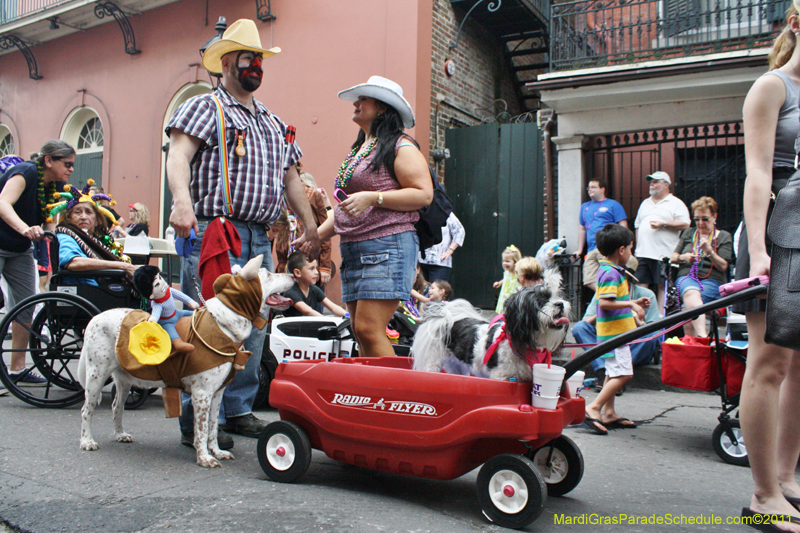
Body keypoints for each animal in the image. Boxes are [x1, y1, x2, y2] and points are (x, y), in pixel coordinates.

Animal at [78, 256, 294, 468]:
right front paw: (204, 458)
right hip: (96, 376)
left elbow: (213, 427)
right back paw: (87, 441)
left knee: (117, 406)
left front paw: (216, 451)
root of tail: (95, 317)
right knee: (86, 409)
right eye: (267, 274)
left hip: (124, 380)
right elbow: (201, 429)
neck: (223, 324)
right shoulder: (202, 394)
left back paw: (120, 434)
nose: (291, 274)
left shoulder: (217, 393)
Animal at [412, 268, 568, 380]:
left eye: (559, 296)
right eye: (541, 300)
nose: (560, 304)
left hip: (456, 365)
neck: (522, 343)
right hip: (432, 361)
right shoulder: (501, 377)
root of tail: (444, 317)